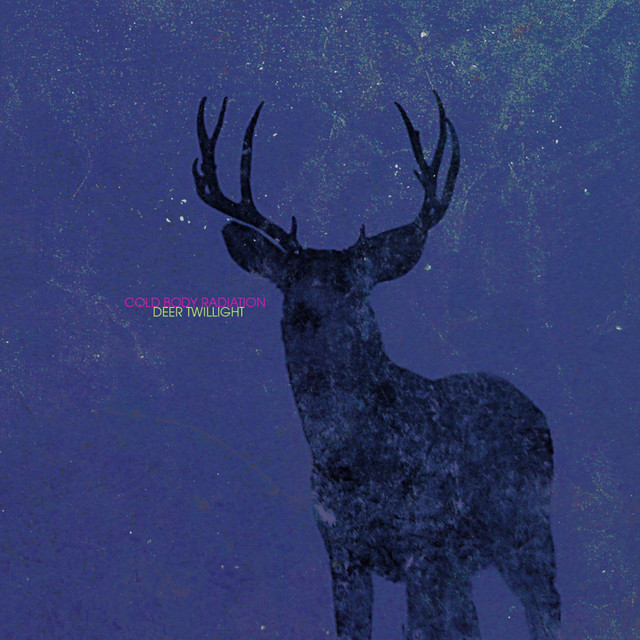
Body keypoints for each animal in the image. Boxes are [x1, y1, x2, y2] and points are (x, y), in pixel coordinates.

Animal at [192, 92, 561, 640]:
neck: (354, 461)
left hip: (528, 529)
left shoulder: (425, 544)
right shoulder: (341, 549)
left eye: (354, 285)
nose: (310, 314)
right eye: (290, 281)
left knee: (545, 613)